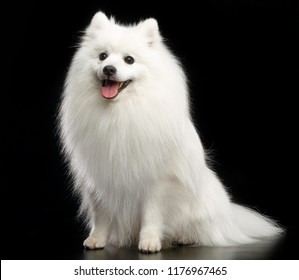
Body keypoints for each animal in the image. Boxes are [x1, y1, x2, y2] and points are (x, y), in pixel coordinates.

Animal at [59, 10, 284, 253]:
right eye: (102, 56)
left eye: (129, 59)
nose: (109, 69)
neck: (120, 112)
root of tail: (230, 219)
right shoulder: (98, 178)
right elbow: (101, 214)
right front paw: (96, 239)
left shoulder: (156, 182)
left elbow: (151, 214)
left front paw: (149, 242)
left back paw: (182, 238)